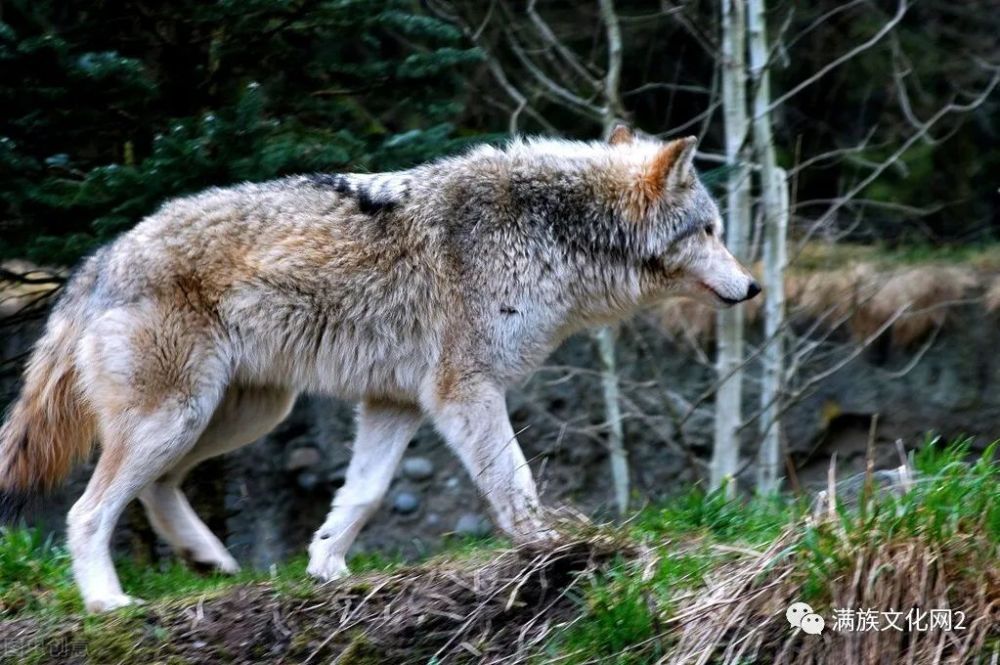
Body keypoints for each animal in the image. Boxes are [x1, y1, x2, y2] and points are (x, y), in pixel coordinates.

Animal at [0, 124, 752, 612]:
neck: (549, 234)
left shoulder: (397, 403)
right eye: (712, 230)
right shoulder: (462, 391)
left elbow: (361, 495)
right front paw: (553, 549)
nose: (752, 288)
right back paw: (107, 601)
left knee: (158, 488)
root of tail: (101, 256)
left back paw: (206, 558)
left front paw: (327, 566)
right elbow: (514, 481)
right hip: (180, 416)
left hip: (236, 414)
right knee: (87, 511)